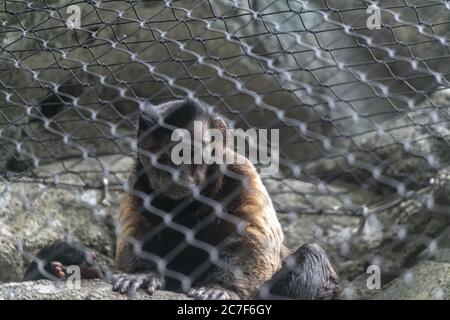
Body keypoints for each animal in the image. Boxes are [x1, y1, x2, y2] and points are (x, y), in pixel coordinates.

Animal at [112, 98, 342, 300]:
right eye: (160, 158)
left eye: (187, 153)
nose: (173, 173)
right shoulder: (136, 182)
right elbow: (137, 228)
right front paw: (141, 274)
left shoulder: (242, 173)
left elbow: (252, 238)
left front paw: (219, 287)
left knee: (313, 254)